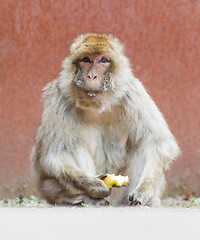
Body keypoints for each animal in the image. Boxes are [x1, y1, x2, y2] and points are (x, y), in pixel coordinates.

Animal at [30, 32, 180, 207]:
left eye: (103, 60)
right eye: (86, 59)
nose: (92, 75)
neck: (97, 105)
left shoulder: (133, 92)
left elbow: (157, 141)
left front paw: (144, 191)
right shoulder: (59, 97)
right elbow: (56, 154)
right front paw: (93, 185)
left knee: (142, 144)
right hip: (50, 189)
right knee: (74, 146)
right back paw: (87, 199)